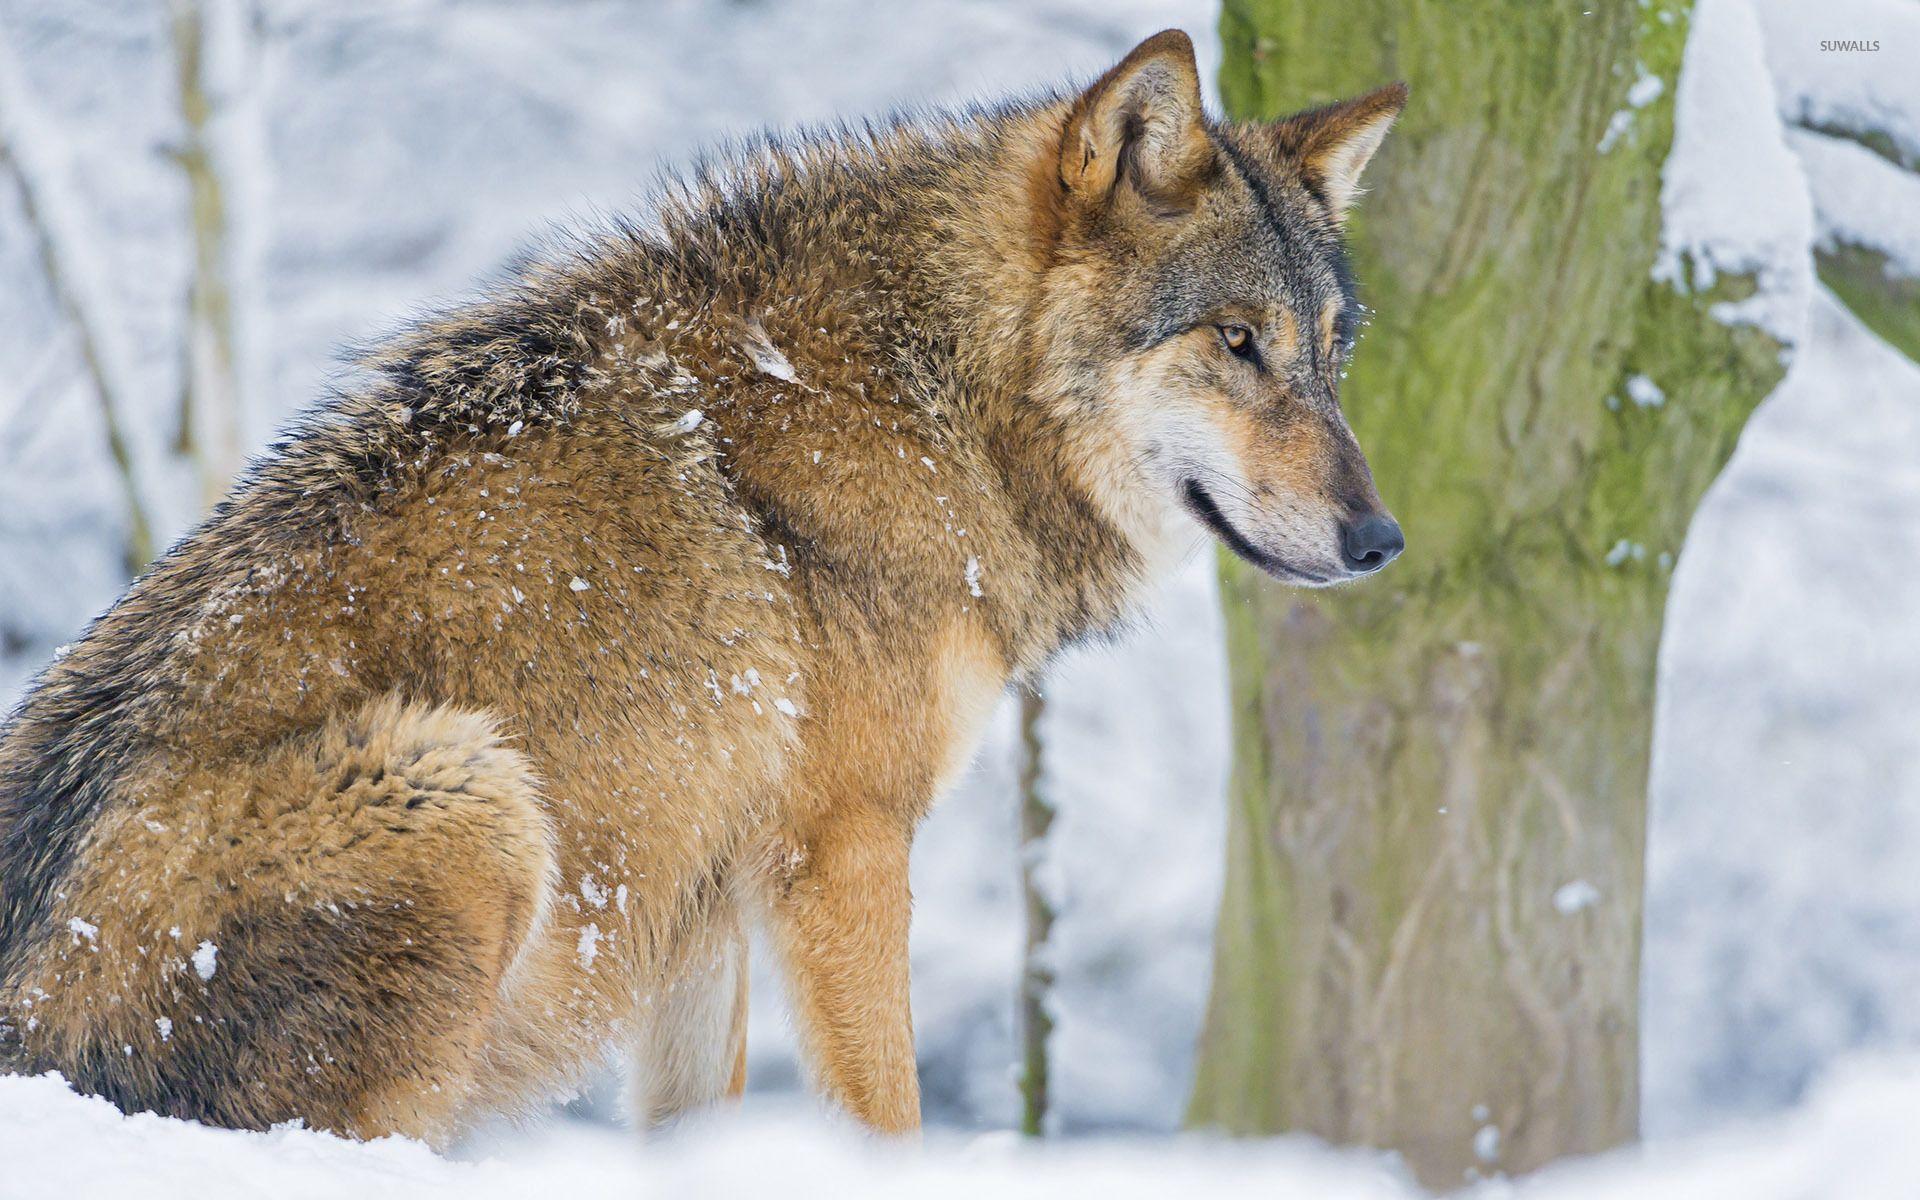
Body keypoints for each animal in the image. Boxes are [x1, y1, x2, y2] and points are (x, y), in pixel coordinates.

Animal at [0, 30, 1403, 1141]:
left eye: (1334, 354)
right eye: (1237, 342)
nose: (1383, 537)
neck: (936, 397)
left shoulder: (700, 907)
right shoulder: (842, 850)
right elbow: (887, 1120)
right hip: (467, 790)